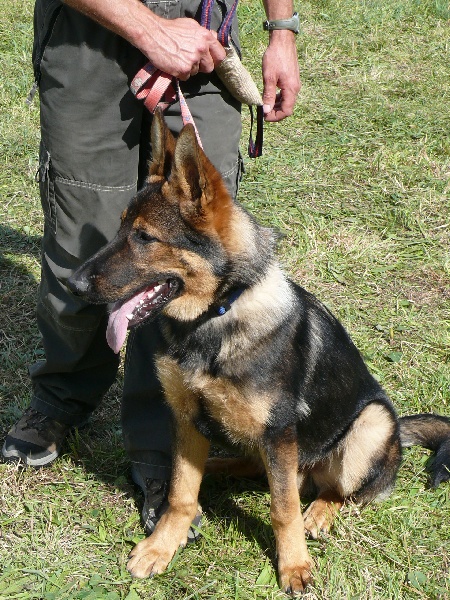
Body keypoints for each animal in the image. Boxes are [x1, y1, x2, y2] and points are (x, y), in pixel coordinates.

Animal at [68, 111, 450, 595]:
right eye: (120, 228)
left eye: (144, 237)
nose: (72, 284)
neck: (213, 317)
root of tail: (399, 432)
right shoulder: (187, 417)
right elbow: (180, 495)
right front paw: (161, 546)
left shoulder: (279, 433)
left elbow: (282, 510)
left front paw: (294, 566)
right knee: (248, 469)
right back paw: (216, 467)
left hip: (370, 423)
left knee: (338, 491)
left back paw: (319, 513)